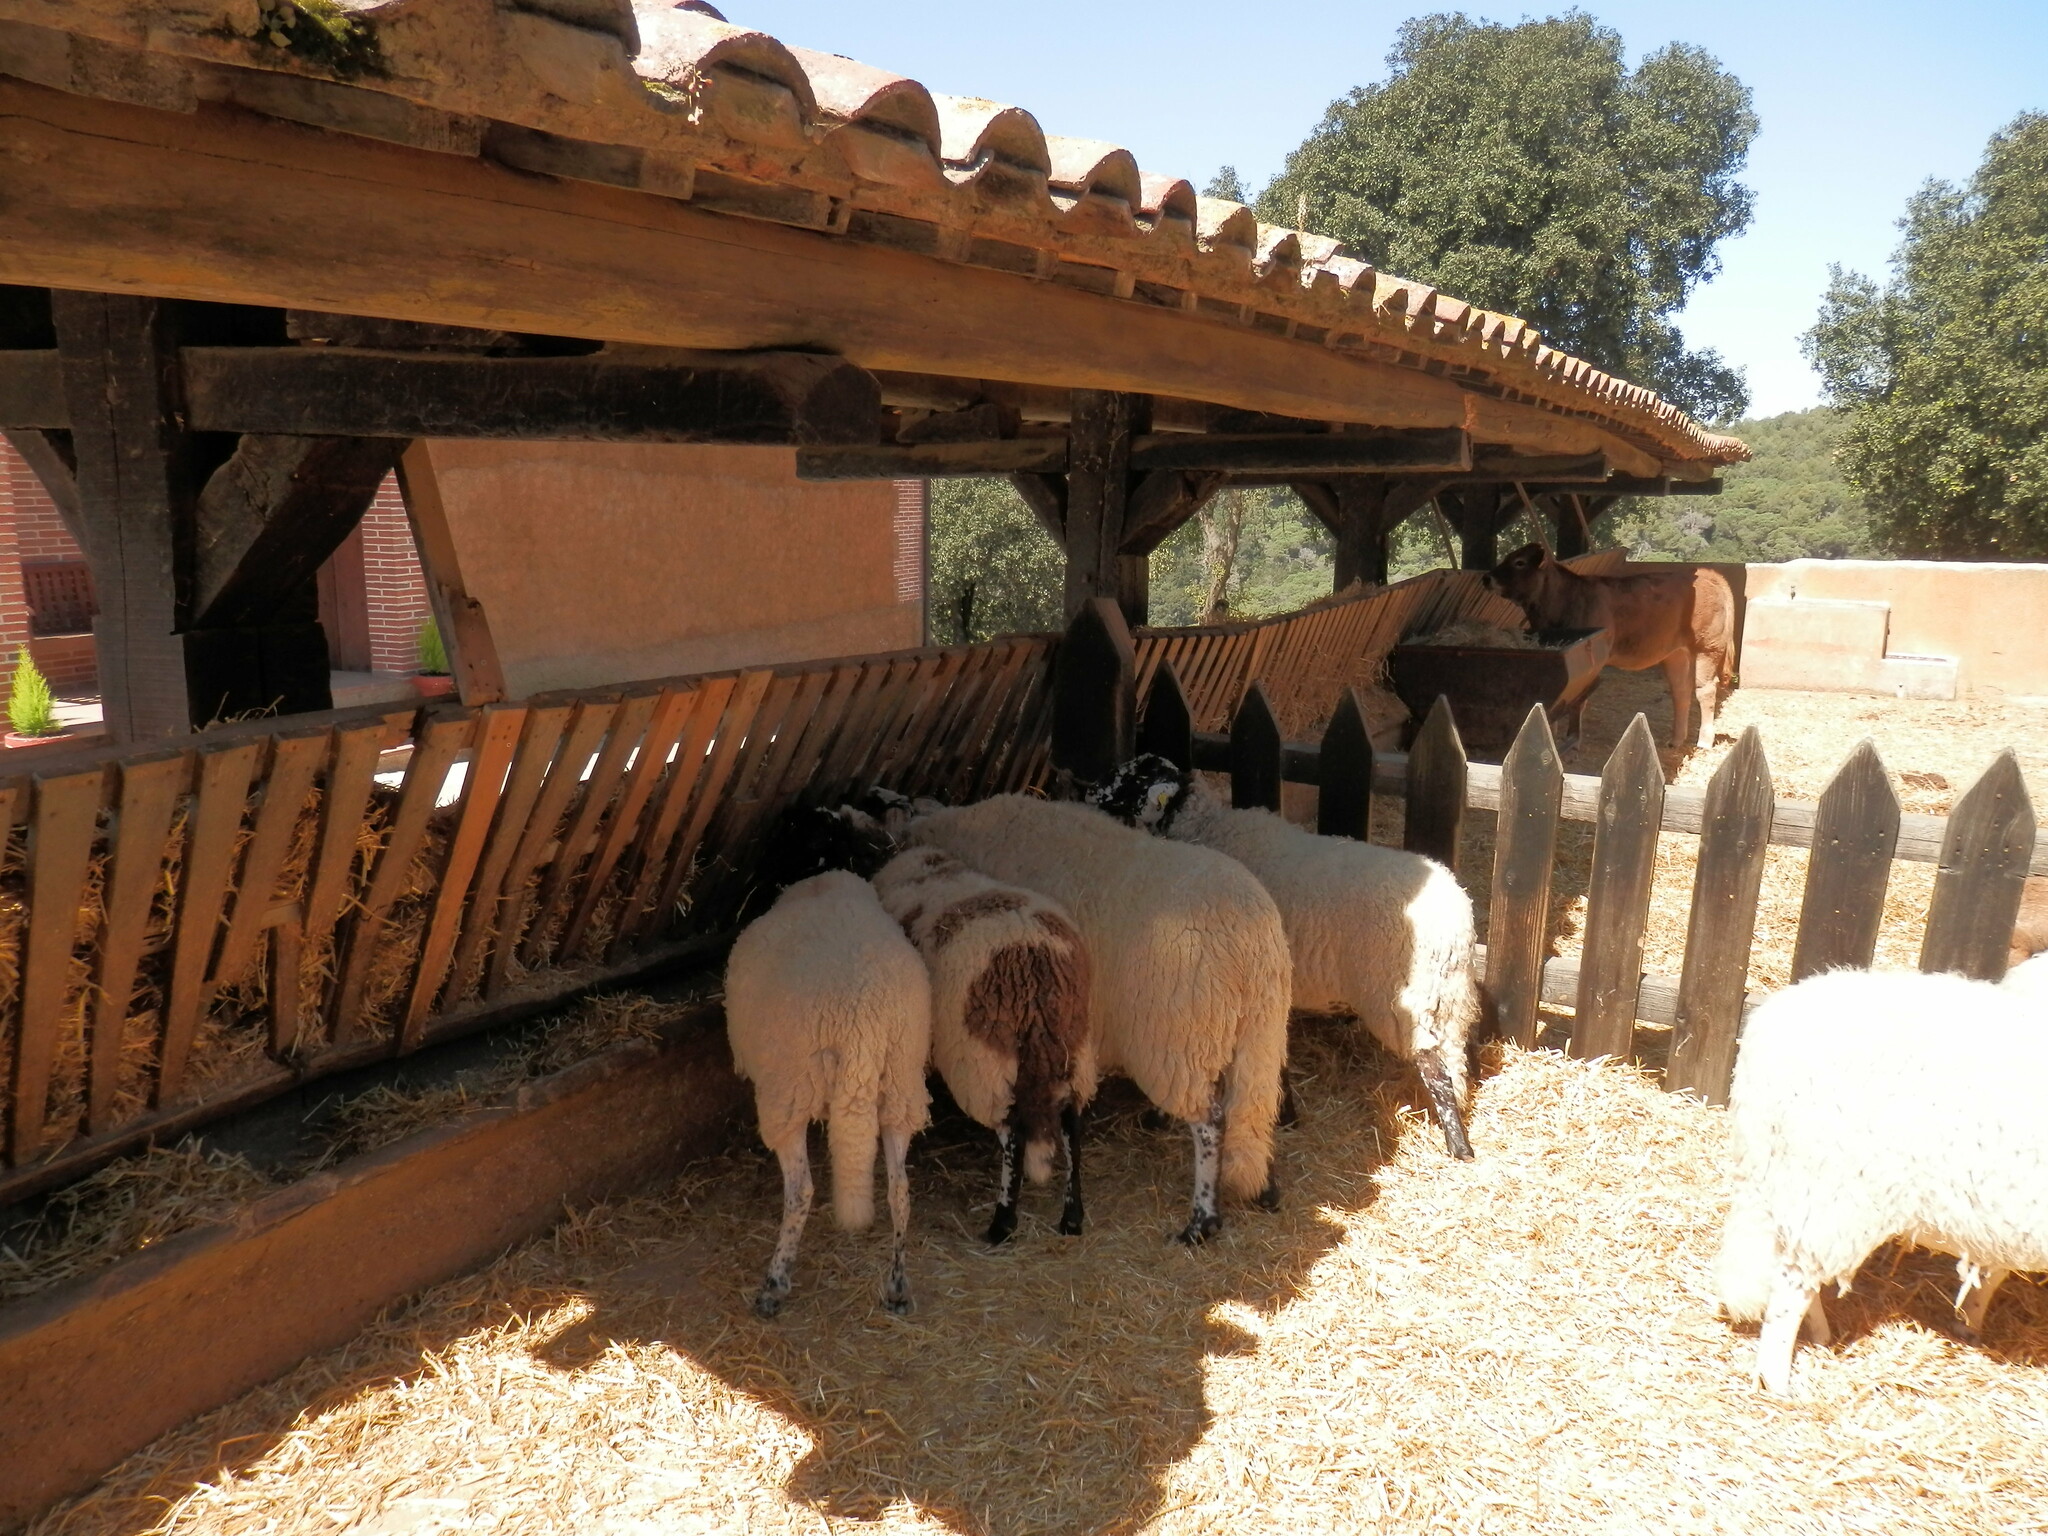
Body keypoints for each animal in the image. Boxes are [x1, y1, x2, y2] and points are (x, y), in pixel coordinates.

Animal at [724, 811, 933, 1318]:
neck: (826, 872)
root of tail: (861, 1018)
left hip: (788, 1091)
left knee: (801, 1191)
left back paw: (774, 1284)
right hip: (900, 1087)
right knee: (899, 1190)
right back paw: (898, 1286)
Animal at [864, 843, 1097, 1253]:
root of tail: (1036, 960)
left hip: (984, 1057)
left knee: (1014, 1133)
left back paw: (1002, 1223)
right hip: (1073, 1043)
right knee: (1071, 1122)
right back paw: (1071, 1218)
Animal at [905, 798, 1286, 1245]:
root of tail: (1246, 940)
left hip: (1180, 1039)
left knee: (1211, 1122)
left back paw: (1200, 1221)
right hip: (1260, 1030)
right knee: (1255, 1104)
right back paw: (1263, 1188)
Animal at [1097, 753, 1482, 1163]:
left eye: (1133, 779)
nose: (1086, 789)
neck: (1208, 826)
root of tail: (1457, 919)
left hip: (1406, 997)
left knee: (1436, 1070)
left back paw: (1459, 1147)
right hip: (1449, 995)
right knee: (1458, 1053)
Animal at [1712, 966, 2048, 1400]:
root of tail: (1767, 1029)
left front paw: (1968, 1323)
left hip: (1790, 1188)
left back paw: (1819, 1337)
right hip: (1833, 1189)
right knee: (1790, 1289)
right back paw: (1778, 1380)